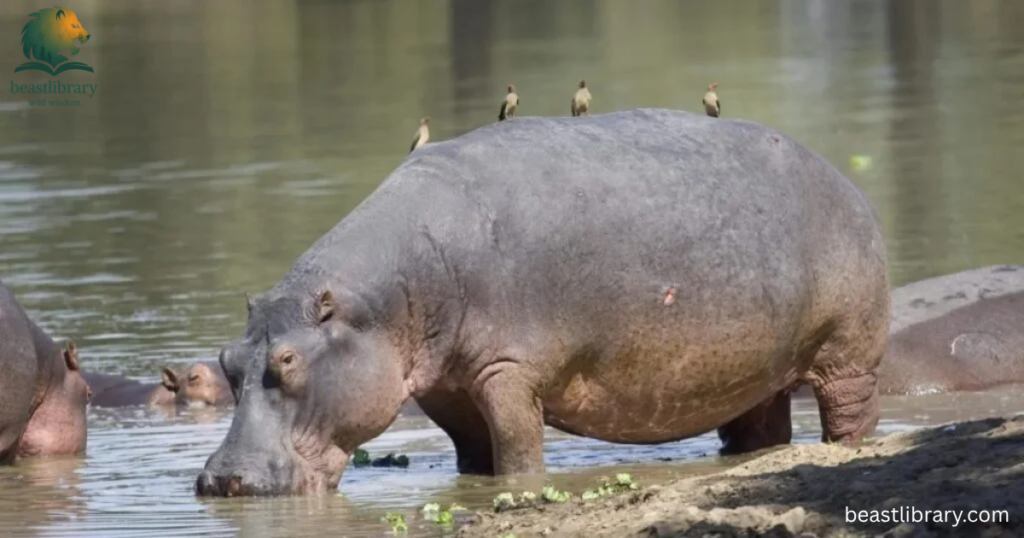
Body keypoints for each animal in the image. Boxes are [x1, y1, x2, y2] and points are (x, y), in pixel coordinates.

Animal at [198, 108, 890, 496]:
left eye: (288, 361)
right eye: (228, 361)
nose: (223, 479)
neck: (383, 301)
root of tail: (840, 176)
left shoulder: (508, 372)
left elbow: (516, 452)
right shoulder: (445, 387)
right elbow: (473, 455)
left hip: (848, 353)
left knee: (851, 414)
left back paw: (847, 448)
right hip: (755, 371)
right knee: (760, 425)